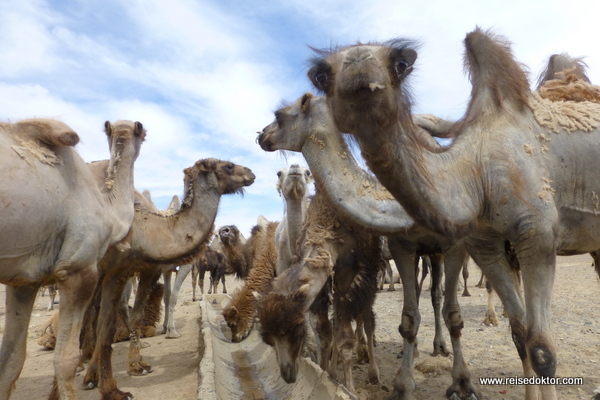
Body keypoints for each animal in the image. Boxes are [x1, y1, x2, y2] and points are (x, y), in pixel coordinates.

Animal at [79, 158, 253, 400]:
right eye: (228, 166)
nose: (251, 173)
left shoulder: (150, 269)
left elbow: (145, 309)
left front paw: (138, 363)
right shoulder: (129, 269)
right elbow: (169, 298)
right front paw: (169, 333)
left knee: (94, 310)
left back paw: (87, 361)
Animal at [258, 94, 478, 396]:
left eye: (279, 115)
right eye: (267, 338)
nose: (262, 135)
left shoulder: (451, 245)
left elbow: (450, 314)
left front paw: (462, 383)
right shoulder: (373, 257)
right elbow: (331, 330)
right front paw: (330, 373)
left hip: (432, 254)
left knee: (434, 297)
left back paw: (434, 347)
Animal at [304, 26, 600, 398]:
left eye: (400, 63)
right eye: (321, 74)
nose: (358, 60)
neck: (477, 171)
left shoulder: (537, 235)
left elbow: (542, 348)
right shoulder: (483, 244)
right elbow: (520, 331)